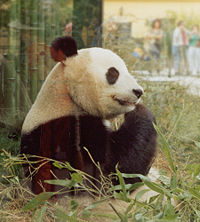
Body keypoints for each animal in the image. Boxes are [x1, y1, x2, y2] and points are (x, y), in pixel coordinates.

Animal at [20, 36, 158, 194]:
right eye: (113, 73)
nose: (138, 91)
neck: (66, 96)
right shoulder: (71, 131)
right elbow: (111, 174)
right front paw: (141, 111)